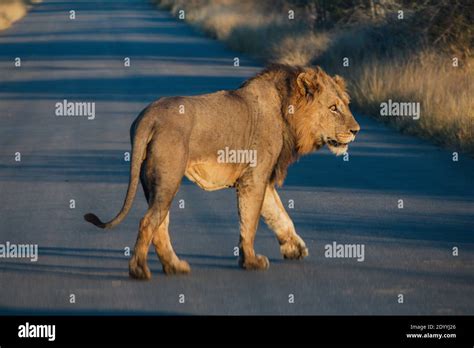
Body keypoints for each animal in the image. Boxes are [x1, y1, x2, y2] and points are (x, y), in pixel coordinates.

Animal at [84, 63, 360, 280]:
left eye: (346, 105)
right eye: (333, 108)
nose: (356, 130)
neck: (287, 112)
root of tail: (148, 117)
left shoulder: (261, 178)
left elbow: (278, 214)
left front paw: (294, 248)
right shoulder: (254, 178)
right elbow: (251, 222)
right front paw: (251, 261)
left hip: (154, 182)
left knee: (159, 225)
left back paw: (174, 266)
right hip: (169, 177)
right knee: (149, 222)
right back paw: (140, 270)